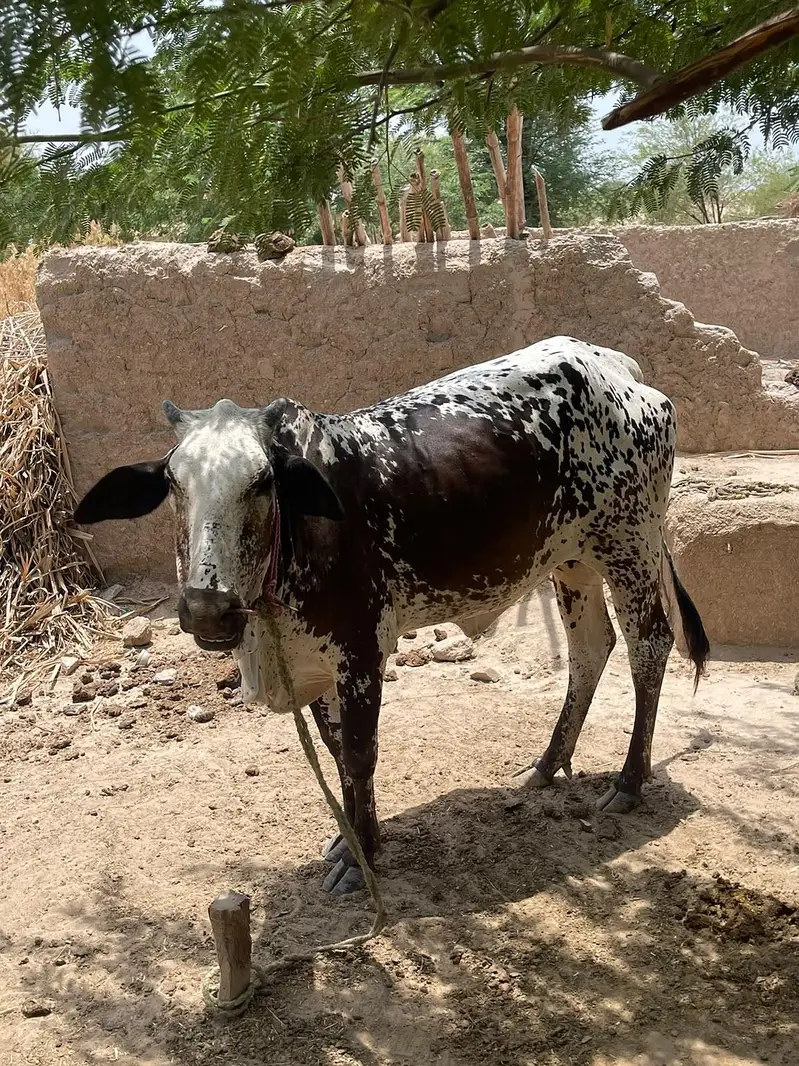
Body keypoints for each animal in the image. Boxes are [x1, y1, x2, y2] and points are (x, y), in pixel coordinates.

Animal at [74, 336, 709, 896]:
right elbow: (338, 756)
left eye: (261, 483)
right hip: (572, 559)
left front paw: (362, 863)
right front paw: (351, 841)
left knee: (648, 646)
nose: (208, 609)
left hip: (628, 544)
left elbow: (360, 754)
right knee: (590, 649)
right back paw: (548, 764)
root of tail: (614, 365)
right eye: (172, 483)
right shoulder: (316, 666)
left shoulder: (360, 652)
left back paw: (629, 782)